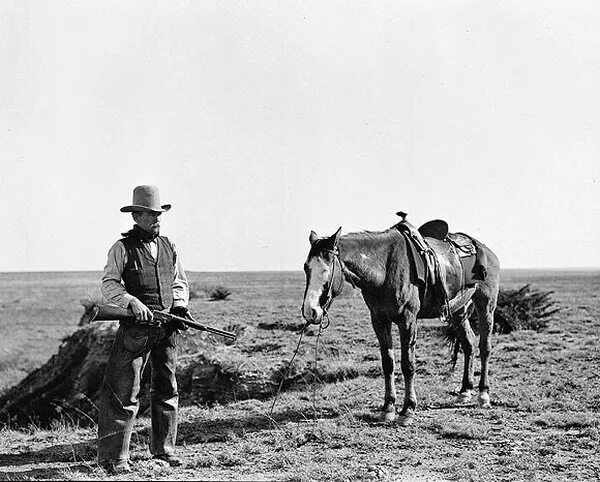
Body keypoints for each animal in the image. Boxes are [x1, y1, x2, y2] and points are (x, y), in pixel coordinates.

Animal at [300, 219, 502, 426]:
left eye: (326, 270)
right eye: (306, 268)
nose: (310, 311)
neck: (384, 268)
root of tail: (485, 250)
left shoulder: (407, 320)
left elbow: (408, 364)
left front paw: (407, 410)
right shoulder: (379, 320)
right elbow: (388, 363)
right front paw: (388, 408)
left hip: (486, 305)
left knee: (485, 347)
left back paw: (483, 394)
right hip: (458, 311)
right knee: (469, 344)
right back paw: (465, 391)